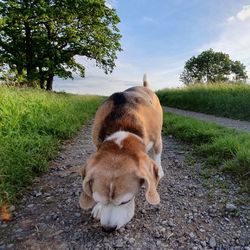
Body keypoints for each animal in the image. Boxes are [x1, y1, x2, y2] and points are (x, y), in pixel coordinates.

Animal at [79, 74, 163, 232]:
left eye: (126, 201)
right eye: (97, 199)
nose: (108, 229)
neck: (122, 129)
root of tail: (144, 87)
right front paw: (98, 208)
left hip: (158, 137)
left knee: (157, 153)